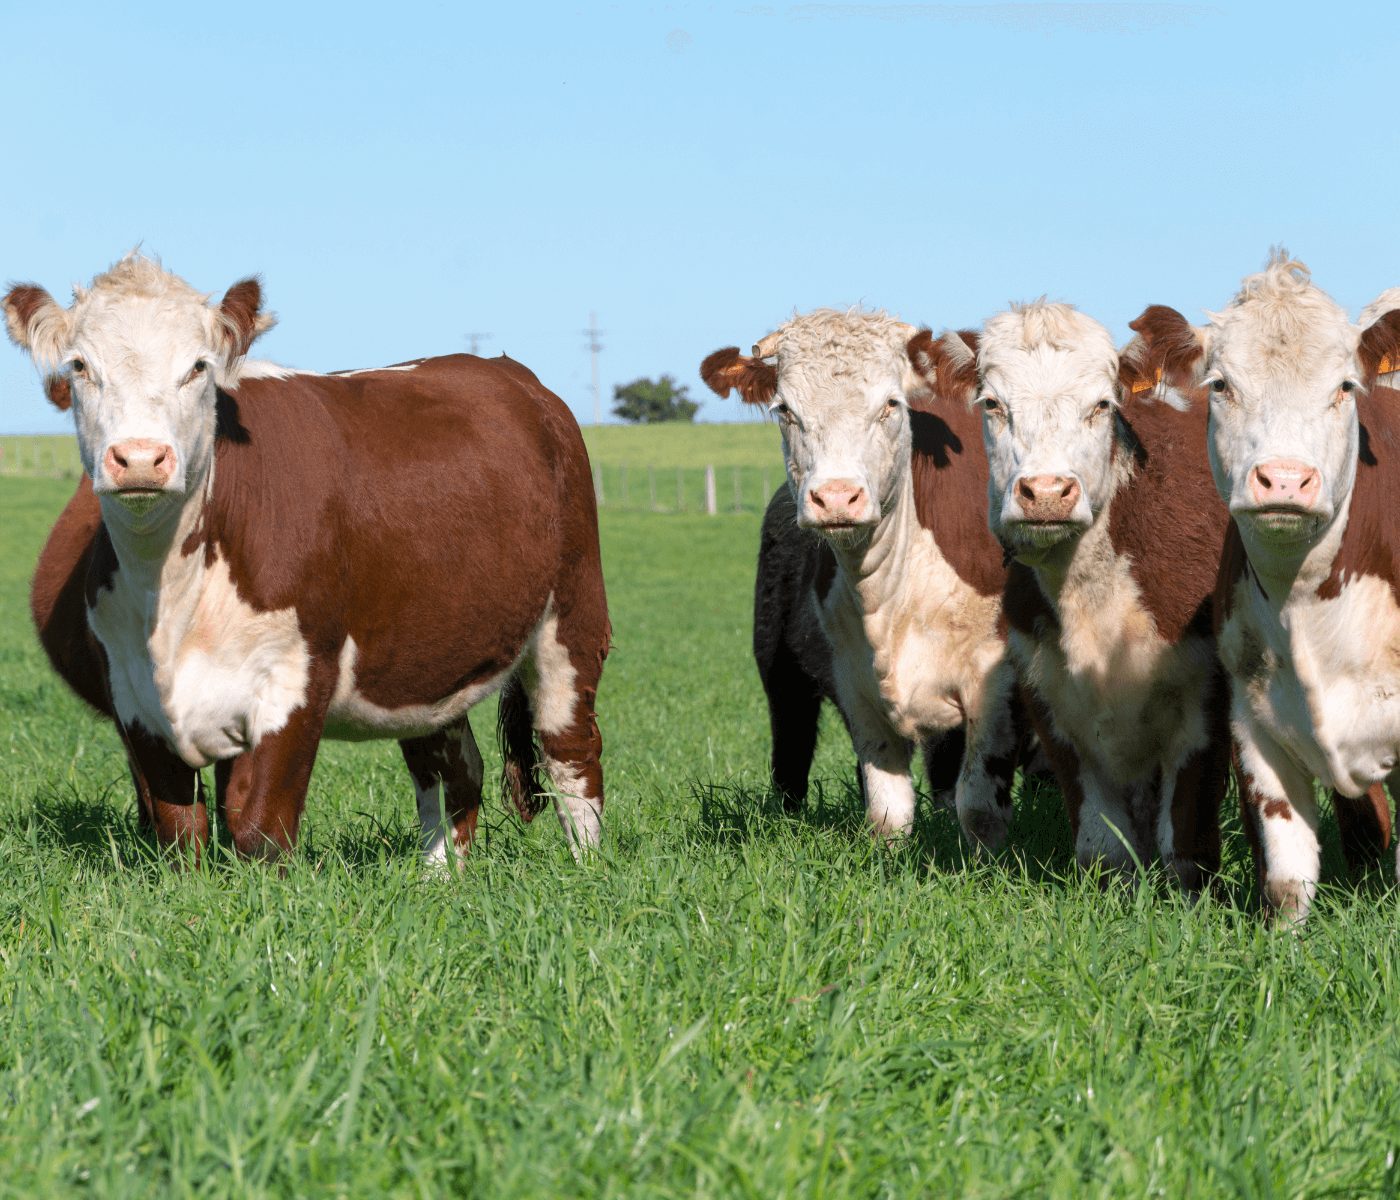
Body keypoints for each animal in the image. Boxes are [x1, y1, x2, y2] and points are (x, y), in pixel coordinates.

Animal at [5, 257, 607, 868]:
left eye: (198, 367)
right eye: (80, 365)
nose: (140, 458)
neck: (169, 593)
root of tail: (509, 373)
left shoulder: (296, 676)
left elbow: (259, 826)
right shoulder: (134, 697)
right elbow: (180, 833)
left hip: (573, 617)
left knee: (570, 754)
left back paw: (587, 869)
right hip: (427, 655)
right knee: (450, 767)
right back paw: (440, 876)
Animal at [700, 313, 1019, 845]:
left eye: (891, 404)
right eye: (785, 410)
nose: (835, 497)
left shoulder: (992, 687)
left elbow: (977, 808)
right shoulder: (856, 689)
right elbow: (888, 814)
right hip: (781, 678)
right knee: (790, 764)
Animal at [918, 296, 1237, 879]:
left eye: (1102, 405)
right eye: (992, 404)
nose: (1046, 492)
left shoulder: (1204, 707)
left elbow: (1185, 847)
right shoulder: (1052, 700)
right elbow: (1102, 846)